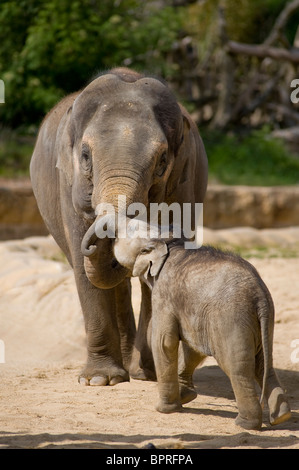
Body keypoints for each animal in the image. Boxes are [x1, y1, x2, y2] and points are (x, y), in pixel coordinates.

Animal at [30, 68, 209, 388]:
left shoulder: (183, 184)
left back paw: (136, 369)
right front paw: (98, 380)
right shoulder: (69, 186)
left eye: (162, 160)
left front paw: (150, 374)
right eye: (85, 155)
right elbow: (82, 266)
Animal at [112, 225, 290, 430]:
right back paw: (281, 417)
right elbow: (192, 348)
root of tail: (259, 296)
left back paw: (245, 424)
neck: (170, 243)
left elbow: (164, 343)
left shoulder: (163, 295)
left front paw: (164, 409)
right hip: (263, 322)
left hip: (231, 319)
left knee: (238, 368)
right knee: (263, 364)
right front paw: (185, 397)